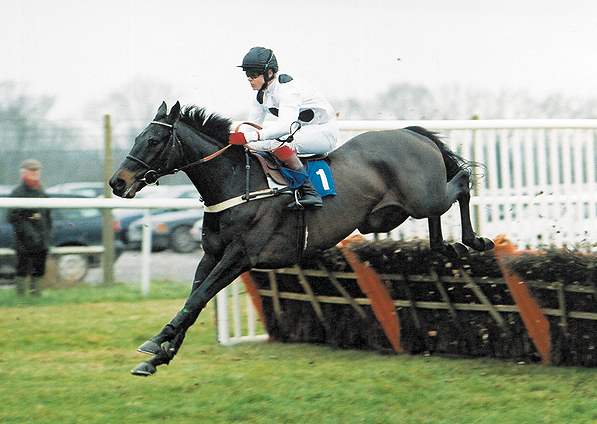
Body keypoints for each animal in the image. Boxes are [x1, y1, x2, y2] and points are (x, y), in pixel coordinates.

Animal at [109, 101, 492, 376]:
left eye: (154, 140)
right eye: (136, 138)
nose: (117, 182)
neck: (236, 182)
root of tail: (412, 134)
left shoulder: (241, 255)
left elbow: (198, 297)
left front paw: (156, 343)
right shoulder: (211, 255)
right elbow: (195, 300)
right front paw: (159, 357)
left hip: (423, 196)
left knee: (461, 182)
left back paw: (476, 241)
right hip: (392, 212)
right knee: (441, 212)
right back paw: (445, 245)